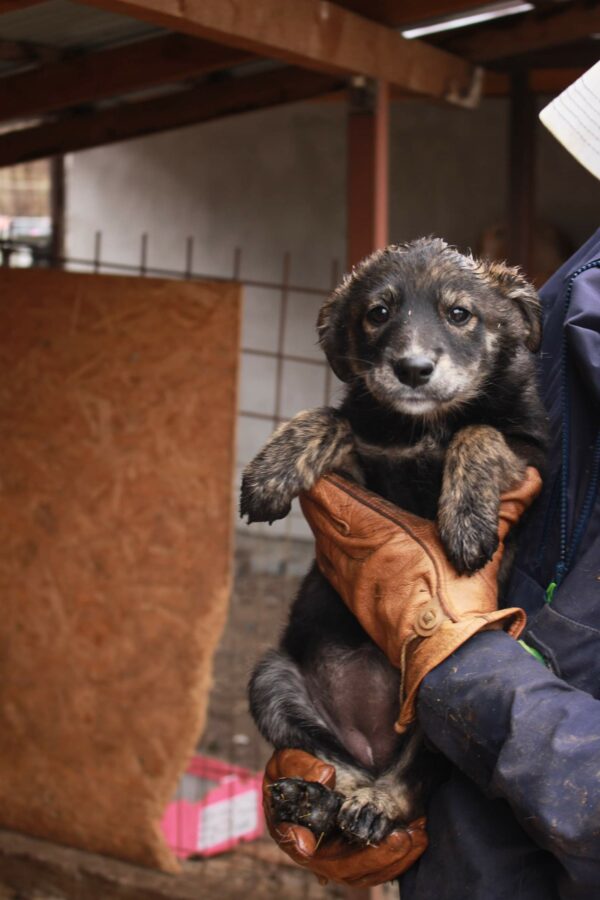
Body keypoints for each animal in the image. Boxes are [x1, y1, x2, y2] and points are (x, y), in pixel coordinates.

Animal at [241, 237, 548, 844]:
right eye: (378, 313)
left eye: (460, 314)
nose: (412, 369)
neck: (424, 426)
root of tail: (375, 740)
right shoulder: (362, 469)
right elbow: (331, 417)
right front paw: (271, 472)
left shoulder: (530, 456)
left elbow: (482, 432)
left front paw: (467, 519)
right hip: (273, 683)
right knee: (343, 769)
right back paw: (315, 800)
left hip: (441, 708)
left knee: (408, 780)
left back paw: (376, 806)